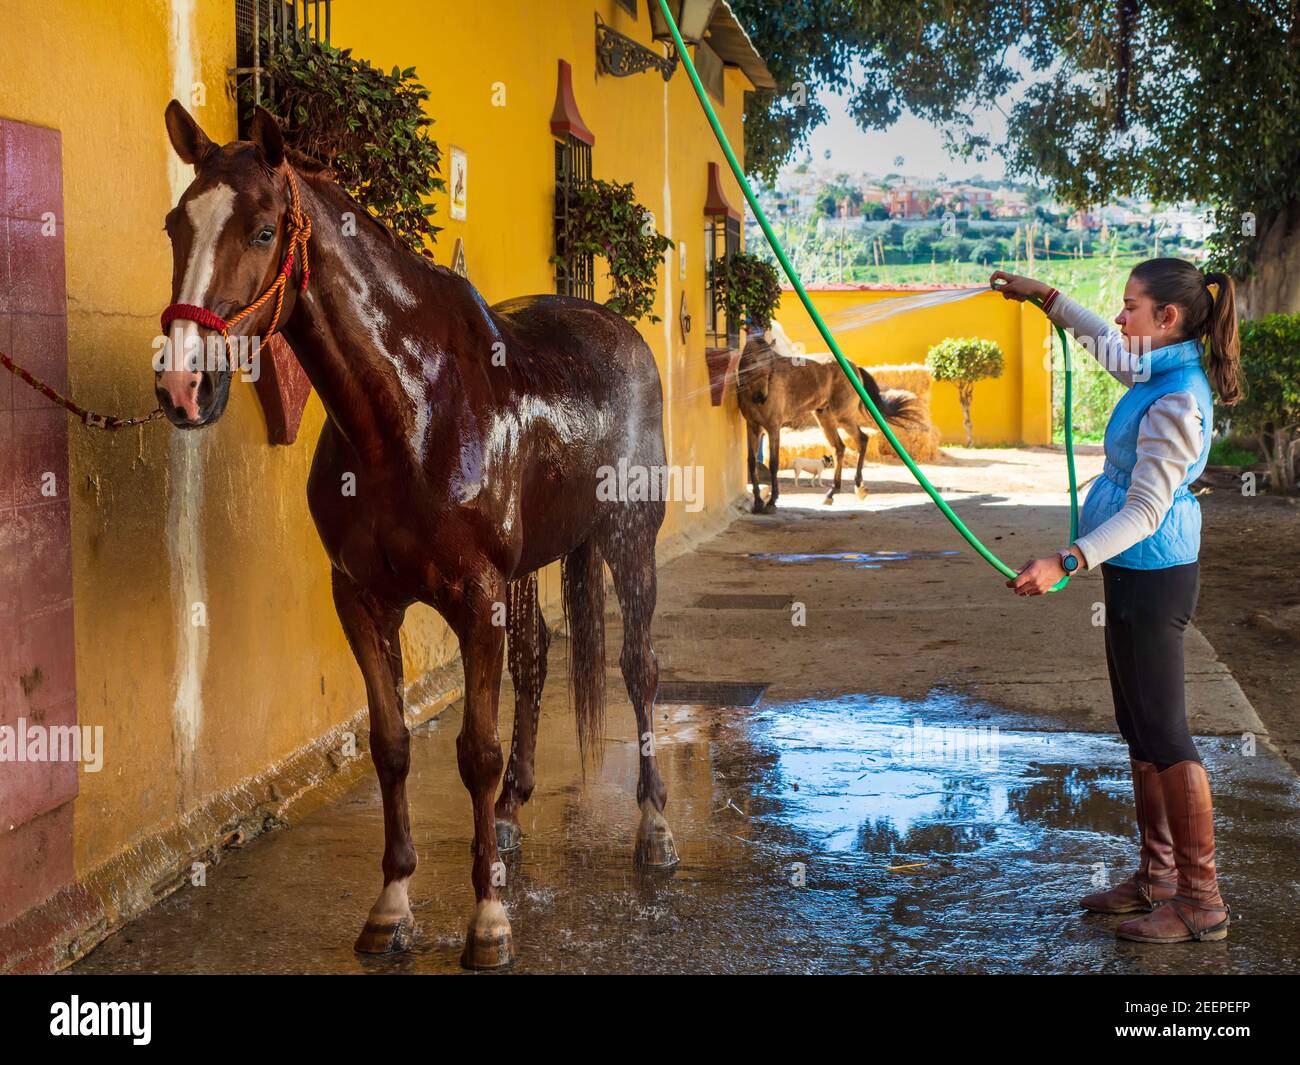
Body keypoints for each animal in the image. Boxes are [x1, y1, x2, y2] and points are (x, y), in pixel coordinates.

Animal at [738, 321, 920, 512]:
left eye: (771, 371)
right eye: (753, 366)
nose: (761, 398)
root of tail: (854, 366)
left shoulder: (773, 428)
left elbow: (774, 463)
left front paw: (772, 501)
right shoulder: (753, 427)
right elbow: (751, 462)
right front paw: (758, 502)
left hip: (842, 417)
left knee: (861, 440)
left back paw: (857, 486)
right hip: (825, 417)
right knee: (839, 447)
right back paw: (833, 492)